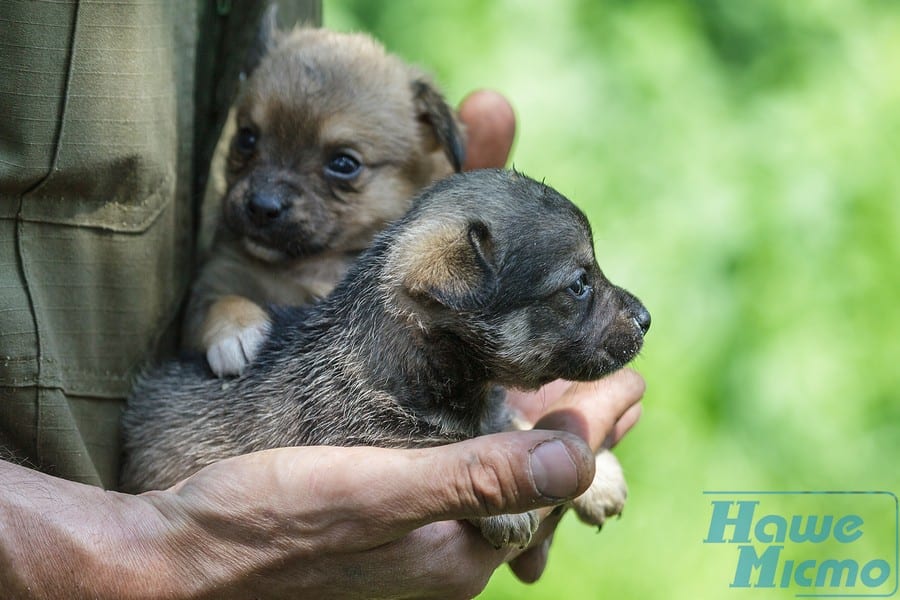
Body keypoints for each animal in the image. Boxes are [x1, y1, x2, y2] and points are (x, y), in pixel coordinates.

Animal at [123, 169, 652, 548]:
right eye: (579, 284)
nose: (647, 318)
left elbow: (514, 424)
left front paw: (600, 471)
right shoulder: (374, 438)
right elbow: (441, 447)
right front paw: (506, 509)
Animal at [183, 11, 464, 378]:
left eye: (343, 163)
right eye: (246, 137)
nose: (261, 206)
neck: (310, 265)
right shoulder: (212, 282)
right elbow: (221, 300)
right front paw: (238, 330)